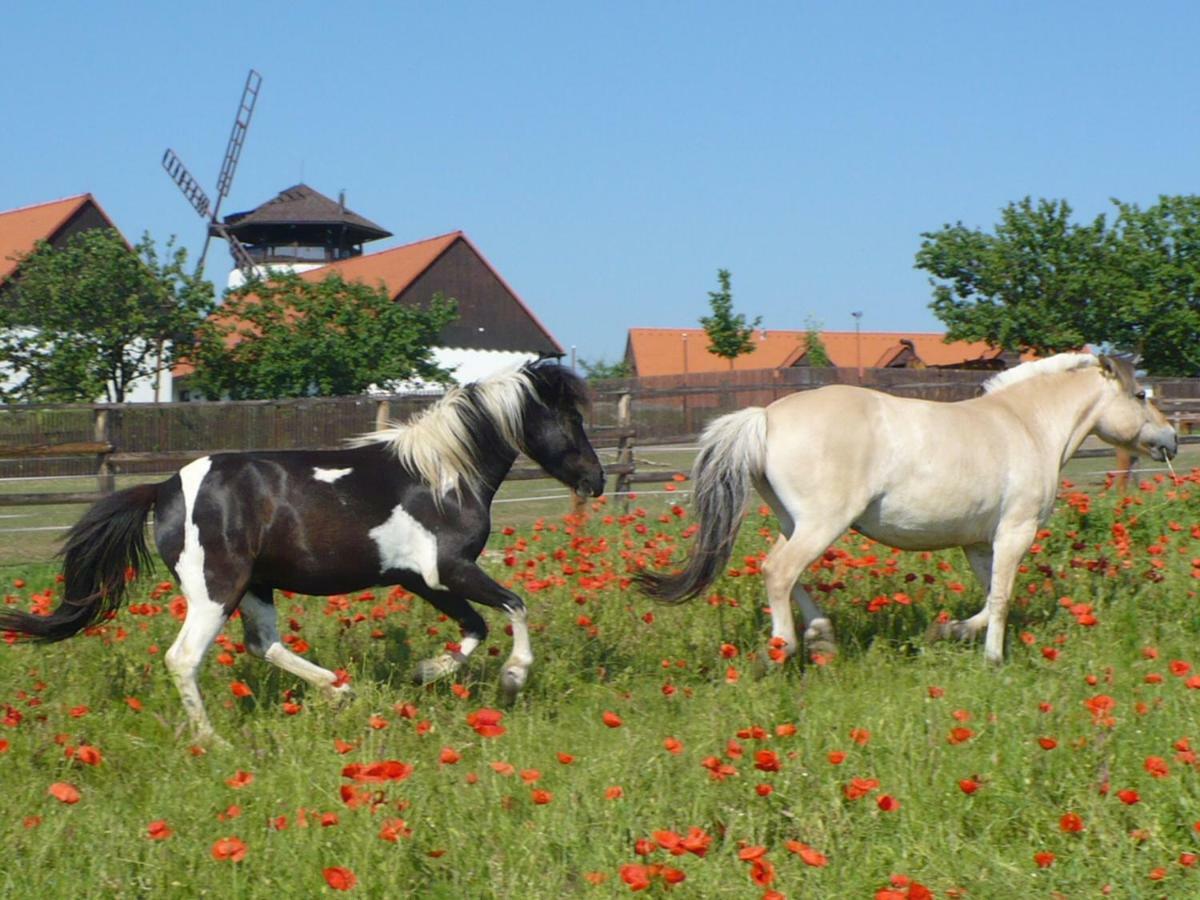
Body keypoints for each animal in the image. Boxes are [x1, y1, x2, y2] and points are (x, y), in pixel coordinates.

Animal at [0, 362, 600, 744]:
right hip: (216, 590)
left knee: (263, 644)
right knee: (185, 658)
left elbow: (474, 627)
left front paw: (424, 672)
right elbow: (515, 606)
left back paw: (340, 690)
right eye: (572, 420)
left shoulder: (421, 579)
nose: (594, 481)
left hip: (255, 587)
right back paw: (215, 742)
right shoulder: (448, 568)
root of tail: (165, 487)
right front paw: (514, 678)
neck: (442, 478)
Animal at [643, 355, 1176, 667]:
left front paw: (948, 630)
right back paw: (785, 650)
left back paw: (821, 637)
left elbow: (990, 599)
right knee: (779, 572)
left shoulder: (978, 544)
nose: (1170, 439)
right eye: (1140, 395)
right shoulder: (1015, 532)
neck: (1026, 425)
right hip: (821, 524)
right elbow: (1003, 599)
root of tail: (765, 417)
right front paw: (993, 660)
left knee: (780, 572)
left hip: (795, 522)